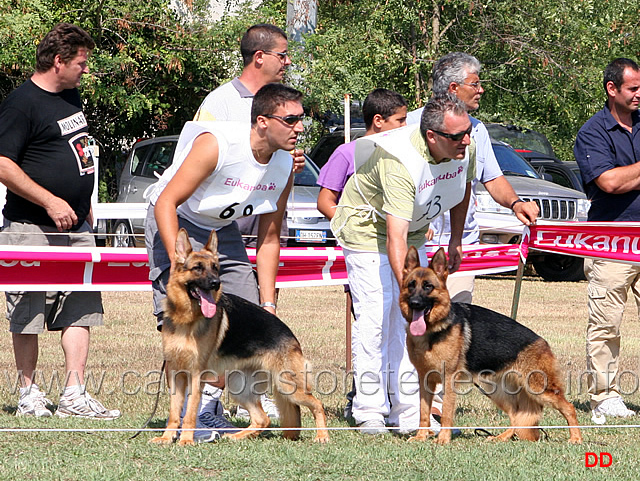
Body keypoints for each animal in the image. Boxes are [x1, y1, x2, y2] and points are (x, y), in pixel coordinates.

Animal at [151, 227, 330, 444]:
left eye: (215, 268)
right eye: (197, 268)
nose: (216, 283)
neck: (187, 318)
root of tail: (290, 335)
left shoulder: (195, 375)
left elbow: (191, 412)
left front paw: (186, 440)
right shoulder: (176, 374)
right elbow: (174, 413)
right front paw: (167, 438)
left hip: (288, 386)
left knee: (317, 404)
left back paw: (323, 436)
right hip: (240, 387)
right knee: (262, 419)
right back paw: (236, 436)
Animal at [402, 246, 584, 444]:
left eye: (428, 286)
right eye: (411, 285)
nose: (415, 303)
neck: (434, 329)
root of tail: (542, 342)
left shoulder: (449, 380)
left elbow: (447, 414)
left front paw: (443, 439)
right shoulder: (425, 381)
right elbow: (423, 412)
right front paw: (421, 437)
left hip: (538, 389)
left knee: (569, 408)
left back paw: (576, 438)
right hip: (496, 390)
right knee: (516, 415)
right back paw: (500, 437)